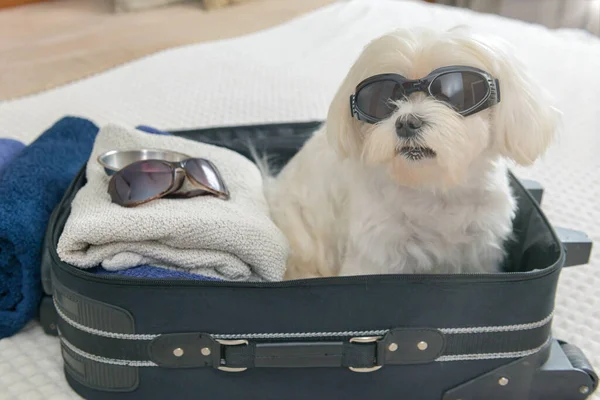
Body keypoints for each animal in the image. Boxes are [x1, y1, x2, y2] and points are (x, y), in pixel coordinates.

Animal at [266, 27, 556, 278]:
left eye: (455, 93)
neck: (432, 187)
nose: (406, 122)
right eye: (383, 98)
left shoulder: (479, 250)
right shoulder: (375, 253)